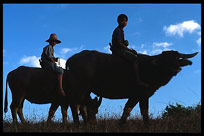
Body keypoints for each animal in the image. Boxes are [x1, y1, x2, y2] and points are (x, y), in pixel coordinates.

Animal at [65, 50, 198, 126]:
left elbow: (129, 109)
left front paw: (121, 124)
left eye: (177, 58)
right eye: (165, 59)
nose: (175, 68)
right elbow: (142, 110)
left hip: (86, 90)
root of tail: (71, 59)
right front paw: (146, 125)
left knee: (82, 105)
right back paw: (78, 124)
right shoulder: (142, 94)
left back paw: (87, 123)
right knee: (75, 104)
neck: (151, 68)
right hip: (80, 87)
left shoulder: (136, 96)